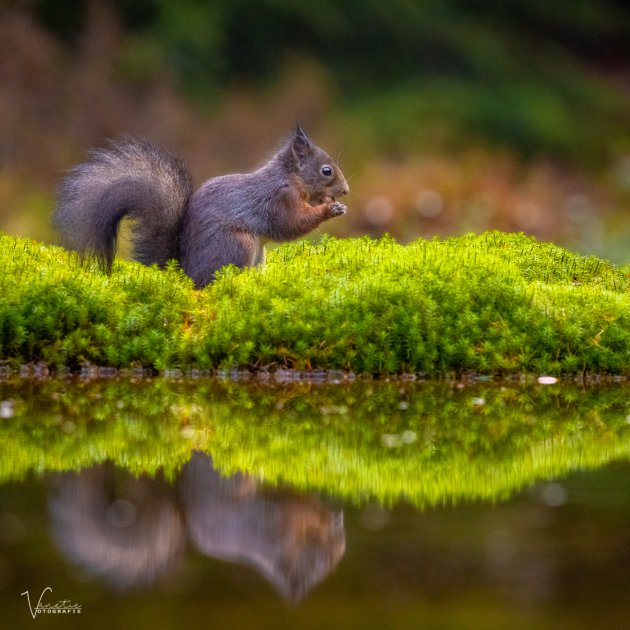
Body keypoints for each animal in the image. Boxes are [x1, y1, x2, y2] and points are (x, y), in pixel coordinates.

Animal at [53, 126, 350, 288]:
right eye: (326, 171)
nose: (345, 191)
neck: (290, 176)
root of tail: (186, 273)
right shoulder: (279, 199)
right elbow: (292, 224)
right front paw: (329, 209)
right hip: (237, 245)